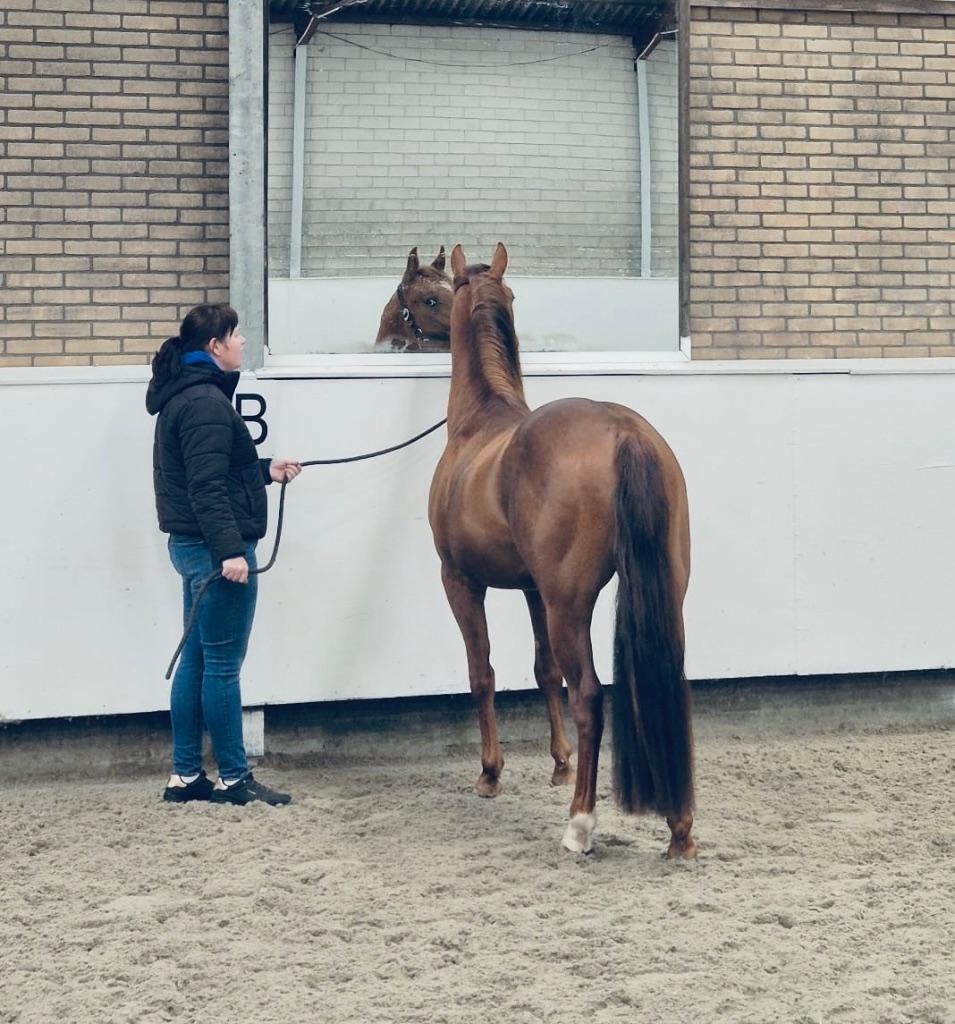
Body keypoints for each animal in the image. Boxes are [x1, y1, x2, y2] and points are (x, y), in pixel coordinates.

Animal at [428, 243, 695, 859]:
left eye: (443, 293)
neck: (478, 426)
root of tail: (625, 432)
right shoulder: (532, 589)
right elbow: (543, 669)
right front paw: (557, 764)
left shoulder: (460, 582)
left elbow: (482, 671)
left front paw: (490, 773)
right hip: (658, 594)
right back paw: (679, 828)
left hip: (570, 606)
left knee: (590, 695)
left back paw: (580, 823)